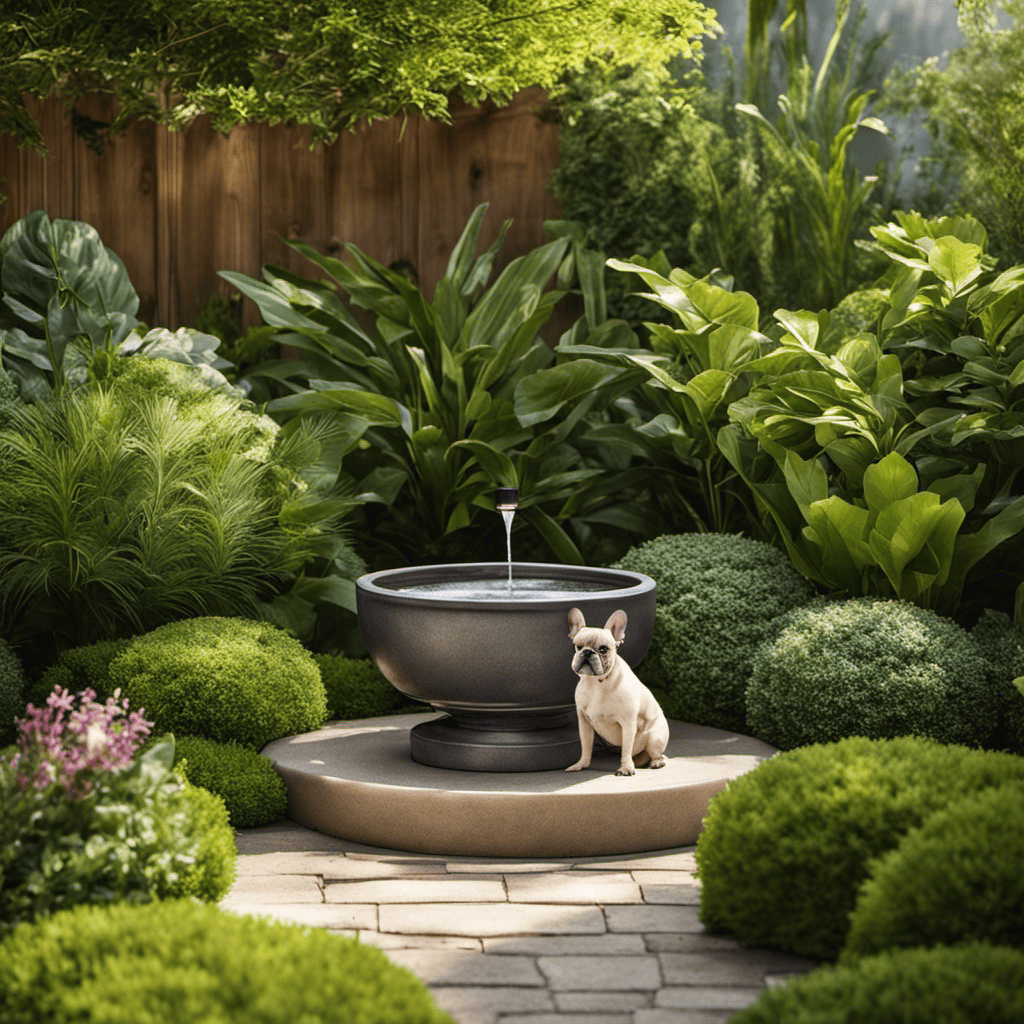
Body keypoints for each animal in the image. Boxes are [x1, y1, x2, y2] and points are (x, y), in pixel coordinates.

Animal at [565, 606, 667, 774]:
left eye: (603, 649)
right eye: (578, 647)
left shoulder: (627, 723)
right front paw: (581, 764)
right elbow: (586, 746)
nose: (587, 652)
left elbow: (626, 748)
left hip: (654, 739)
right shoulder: (584, 723)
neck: (596, 683)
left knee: (659, 755)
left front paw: (626, 768)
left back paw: (656, 762)